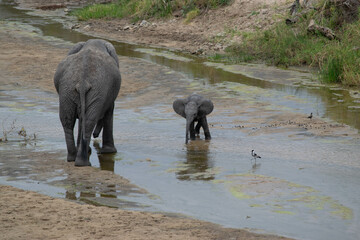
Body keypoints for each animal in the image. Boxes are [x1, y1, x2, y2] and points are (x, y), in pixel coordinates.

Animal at [53, 39, 121, 167]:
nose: (95, 135)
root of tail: (82, 81)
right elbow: (109, 110)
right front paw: (109, 152)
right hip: (95, 91)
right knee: (88, 121)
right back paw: (83, 163)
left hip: (67, 91)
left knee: (68, 121)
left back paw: (72, 158)